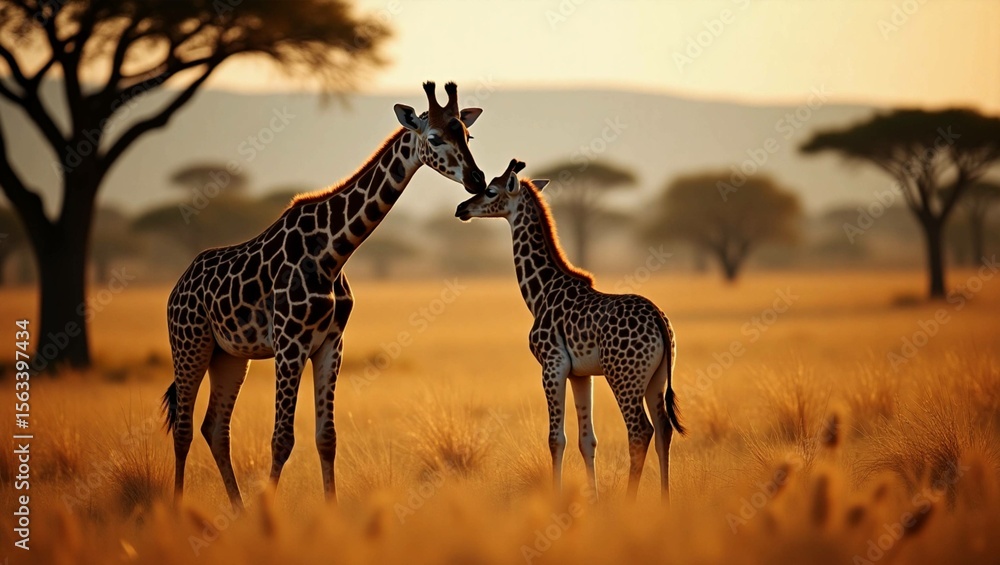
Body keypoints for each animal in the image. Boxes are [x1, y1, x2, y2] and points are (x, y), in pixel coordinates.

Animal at [162, 82, 487, 510]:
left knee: (214, 428)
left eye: (466, 135)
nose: (477, 180)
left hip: (229, 355)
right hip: (190, 345)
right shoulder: (289, 344)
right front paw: (270, 514)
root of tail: (177, 285)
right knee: (183, 428)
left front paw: (329, 511)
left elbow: (326, 437)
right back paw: (178, 510)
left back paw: (237, 509)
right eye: (433, 137)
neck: (333, 252)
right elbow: (282, 439)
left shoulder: (331, 343)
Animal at [455, 159, 686, 501]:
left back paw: (630, 502)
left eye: (491, 190)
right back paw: (665, 501)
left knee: (641, 431)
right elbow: (587, 440)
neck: (540, 292)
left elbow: (556, 438)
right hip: (655, 377)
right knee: (664, 430)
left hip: (624, 376)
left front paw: (557, 498)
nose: (462, 208)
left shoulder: (553, 365)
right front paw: (593, 499)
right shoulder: (580, 374)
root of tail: (658, 318)